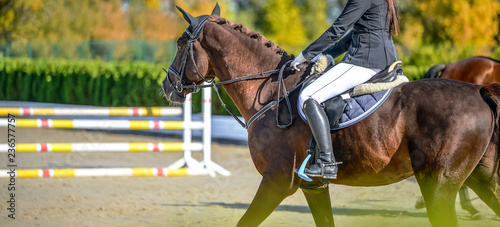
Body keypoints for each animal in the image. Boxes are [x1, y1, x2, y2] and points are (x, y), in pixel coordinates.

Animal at [162, 3, 500, 227]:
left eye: (180, 43)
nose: (167, 86)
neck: (271, 93)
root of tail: (479, 92)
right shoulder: (314, 187)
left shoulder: (276, 181)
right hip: (480, 178)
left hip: (439, 185)